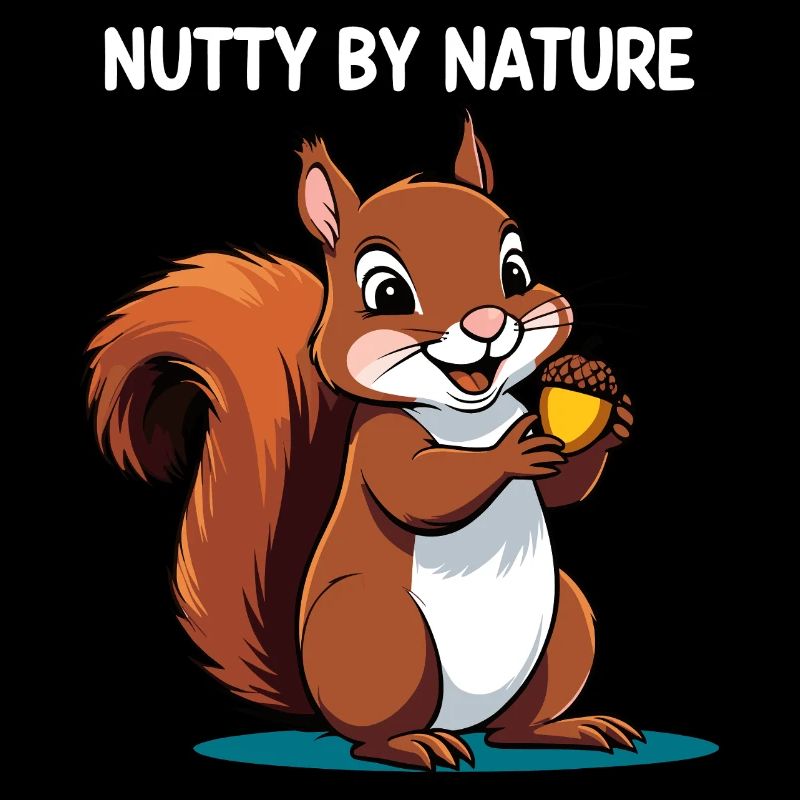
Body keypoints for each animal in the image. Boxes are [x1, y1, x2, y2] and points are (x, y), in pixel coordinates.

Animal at [87, 116, 641, 770]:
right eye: (387, 293)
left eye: (517, 272)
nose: (485, 324)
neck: (470, 417)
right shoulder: (381, 439)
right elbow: (420, 491)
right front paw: (509, 456)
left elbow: (561, 492)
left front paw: (614, 423)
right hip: (379, 625)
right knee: (370, 734)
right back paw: (412, 743)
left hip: (566, 618)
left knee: (513, 726)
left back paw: (563, 729)